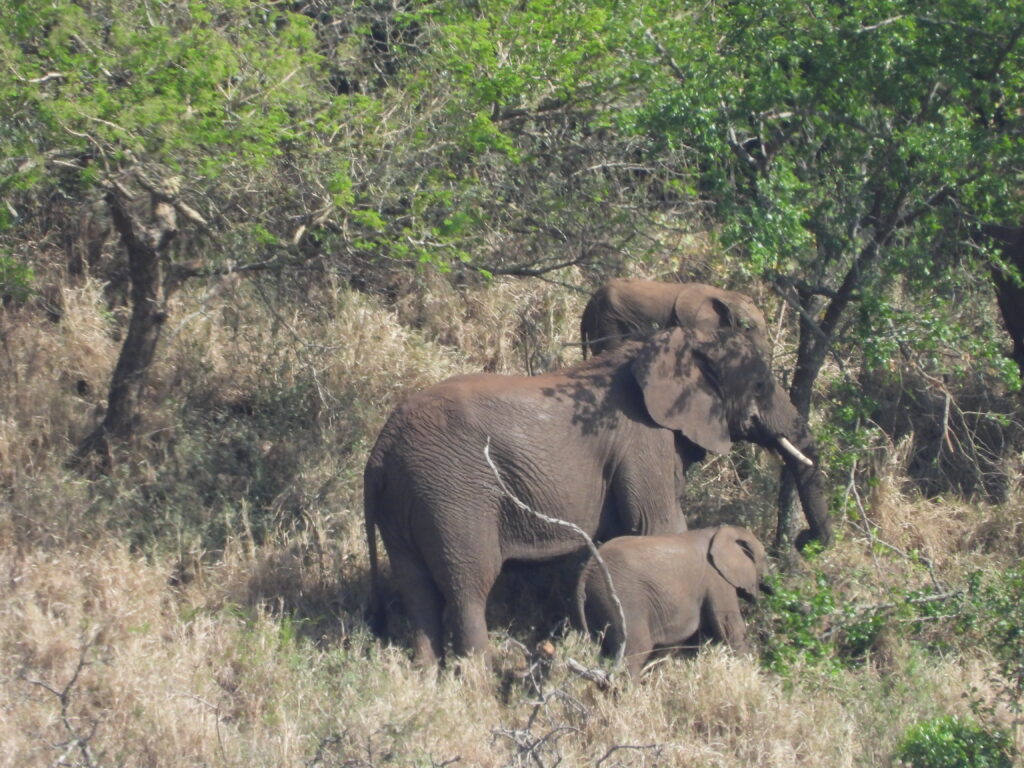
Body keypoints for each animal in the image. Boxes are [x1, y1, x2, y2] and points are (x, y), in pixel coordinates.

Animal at [575, 525, 769, 678]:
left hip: (598, 601)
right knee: (635, 652)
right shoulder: (717, 580)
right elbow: (730, 629)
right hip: (621, 598)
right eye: (764, 559)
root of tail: (585, 575)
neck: (720, 530)